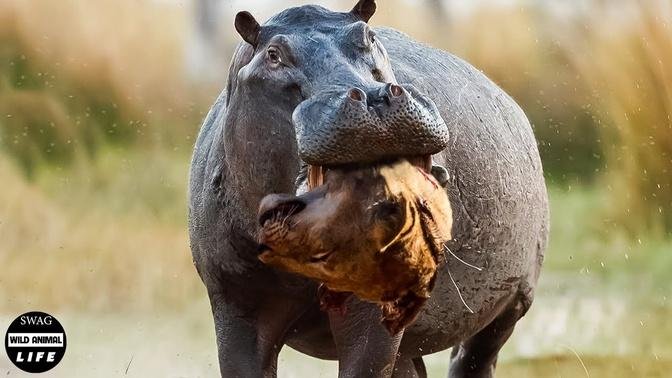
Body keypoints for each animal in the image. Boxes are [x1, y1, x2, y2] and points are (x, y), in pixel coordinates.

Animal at [188, 1, 544, 376]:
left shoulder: (374, 311)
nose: (374, 98)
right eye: (273, 54)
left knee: (477, 355)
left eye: (368, 36)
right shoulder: (236, 303)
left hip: (512, 302)